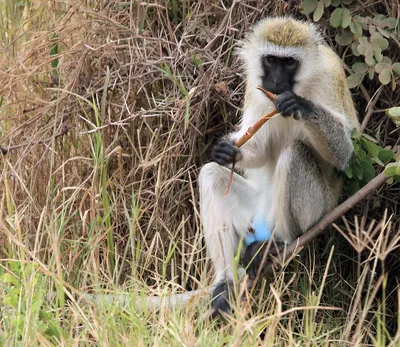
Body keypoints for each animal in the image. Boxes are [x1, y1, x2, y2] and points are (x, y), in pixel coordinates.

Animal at [200, 17, 360, 316]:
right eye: (271, 60)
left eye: (289, 63)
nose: (275, 81)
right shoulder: (255, 87)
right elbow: (260, 150)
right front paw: (227, 150)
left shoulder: (331, 75)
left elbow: (344, 154)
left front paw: (301, 106)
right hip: (252, 210)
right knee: (211, 174)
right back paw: (225, 284)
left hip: (317, 210)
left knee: (294, 153)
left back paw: (279, 245)